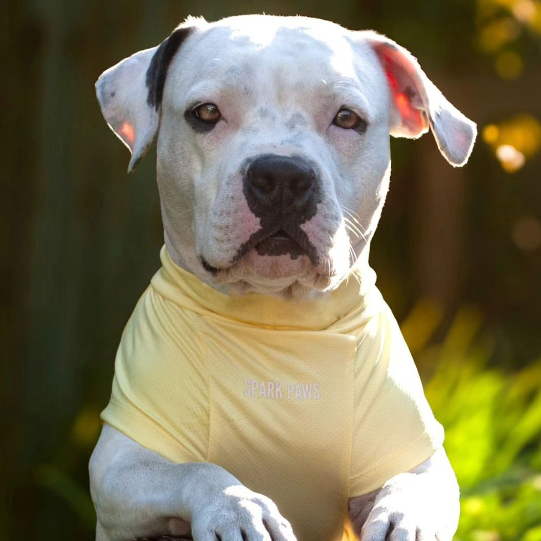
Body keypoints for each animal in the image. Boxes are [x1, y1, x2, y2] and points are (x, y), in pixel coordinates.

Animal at [90, 14, 474, 540]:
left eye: (347, 118)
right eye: (205, 112)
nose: (282, 176)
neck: (280, 321)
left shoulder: (419, 458)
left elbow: (411, 485)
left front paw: (405, 518)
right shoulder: (119, 464)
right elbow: (196, 470)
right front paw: (237, 507)